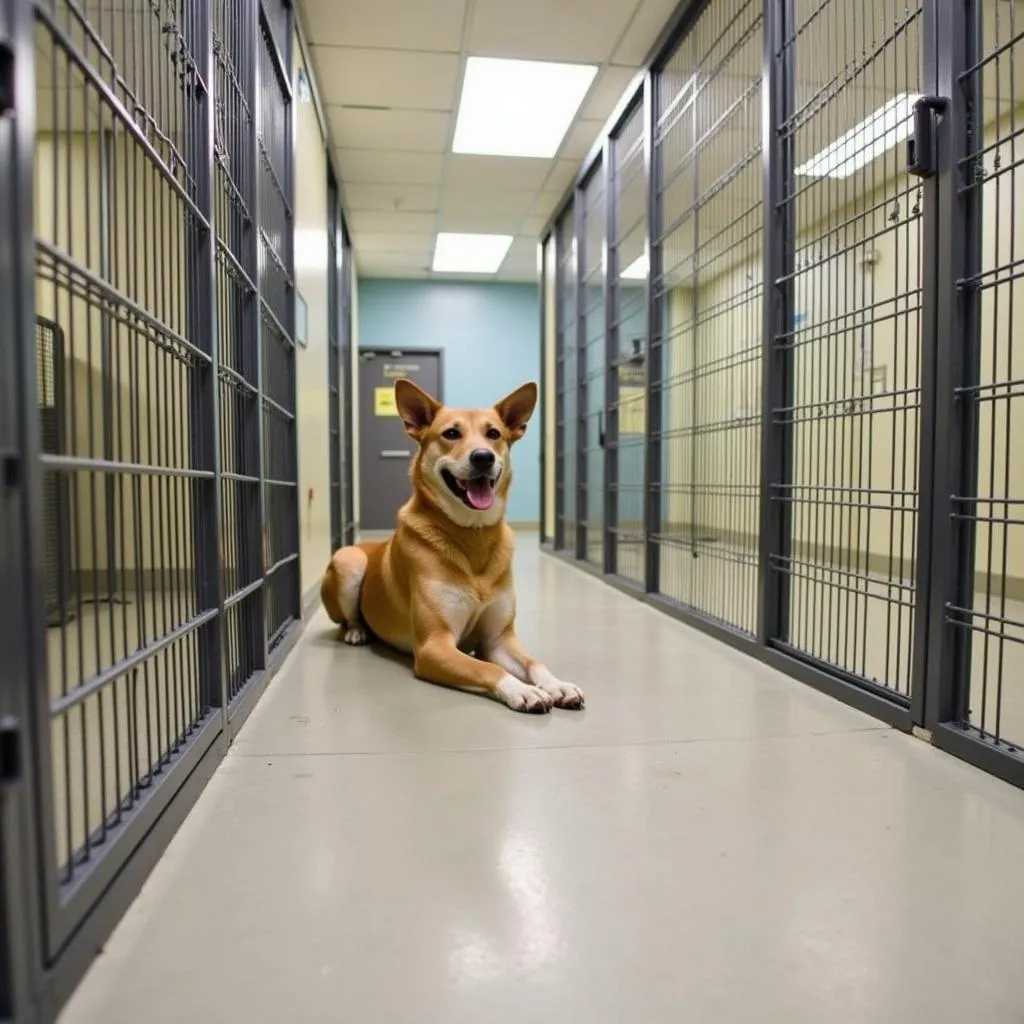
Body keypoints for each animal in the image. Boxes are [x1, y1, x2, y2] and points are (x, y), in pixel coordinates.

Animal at [323, 378, 589, 712]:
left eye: (493, 434)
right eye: (451, 433)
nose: (483, 457)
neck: (473, 537)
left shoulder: (498, 640)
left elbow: (534, 663)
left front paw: (557, 685)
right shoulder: (433, 645)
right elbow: (488, 668)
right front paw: (523, 691)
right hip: (348, 560)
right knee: (348, 618)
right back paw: (357, 631)